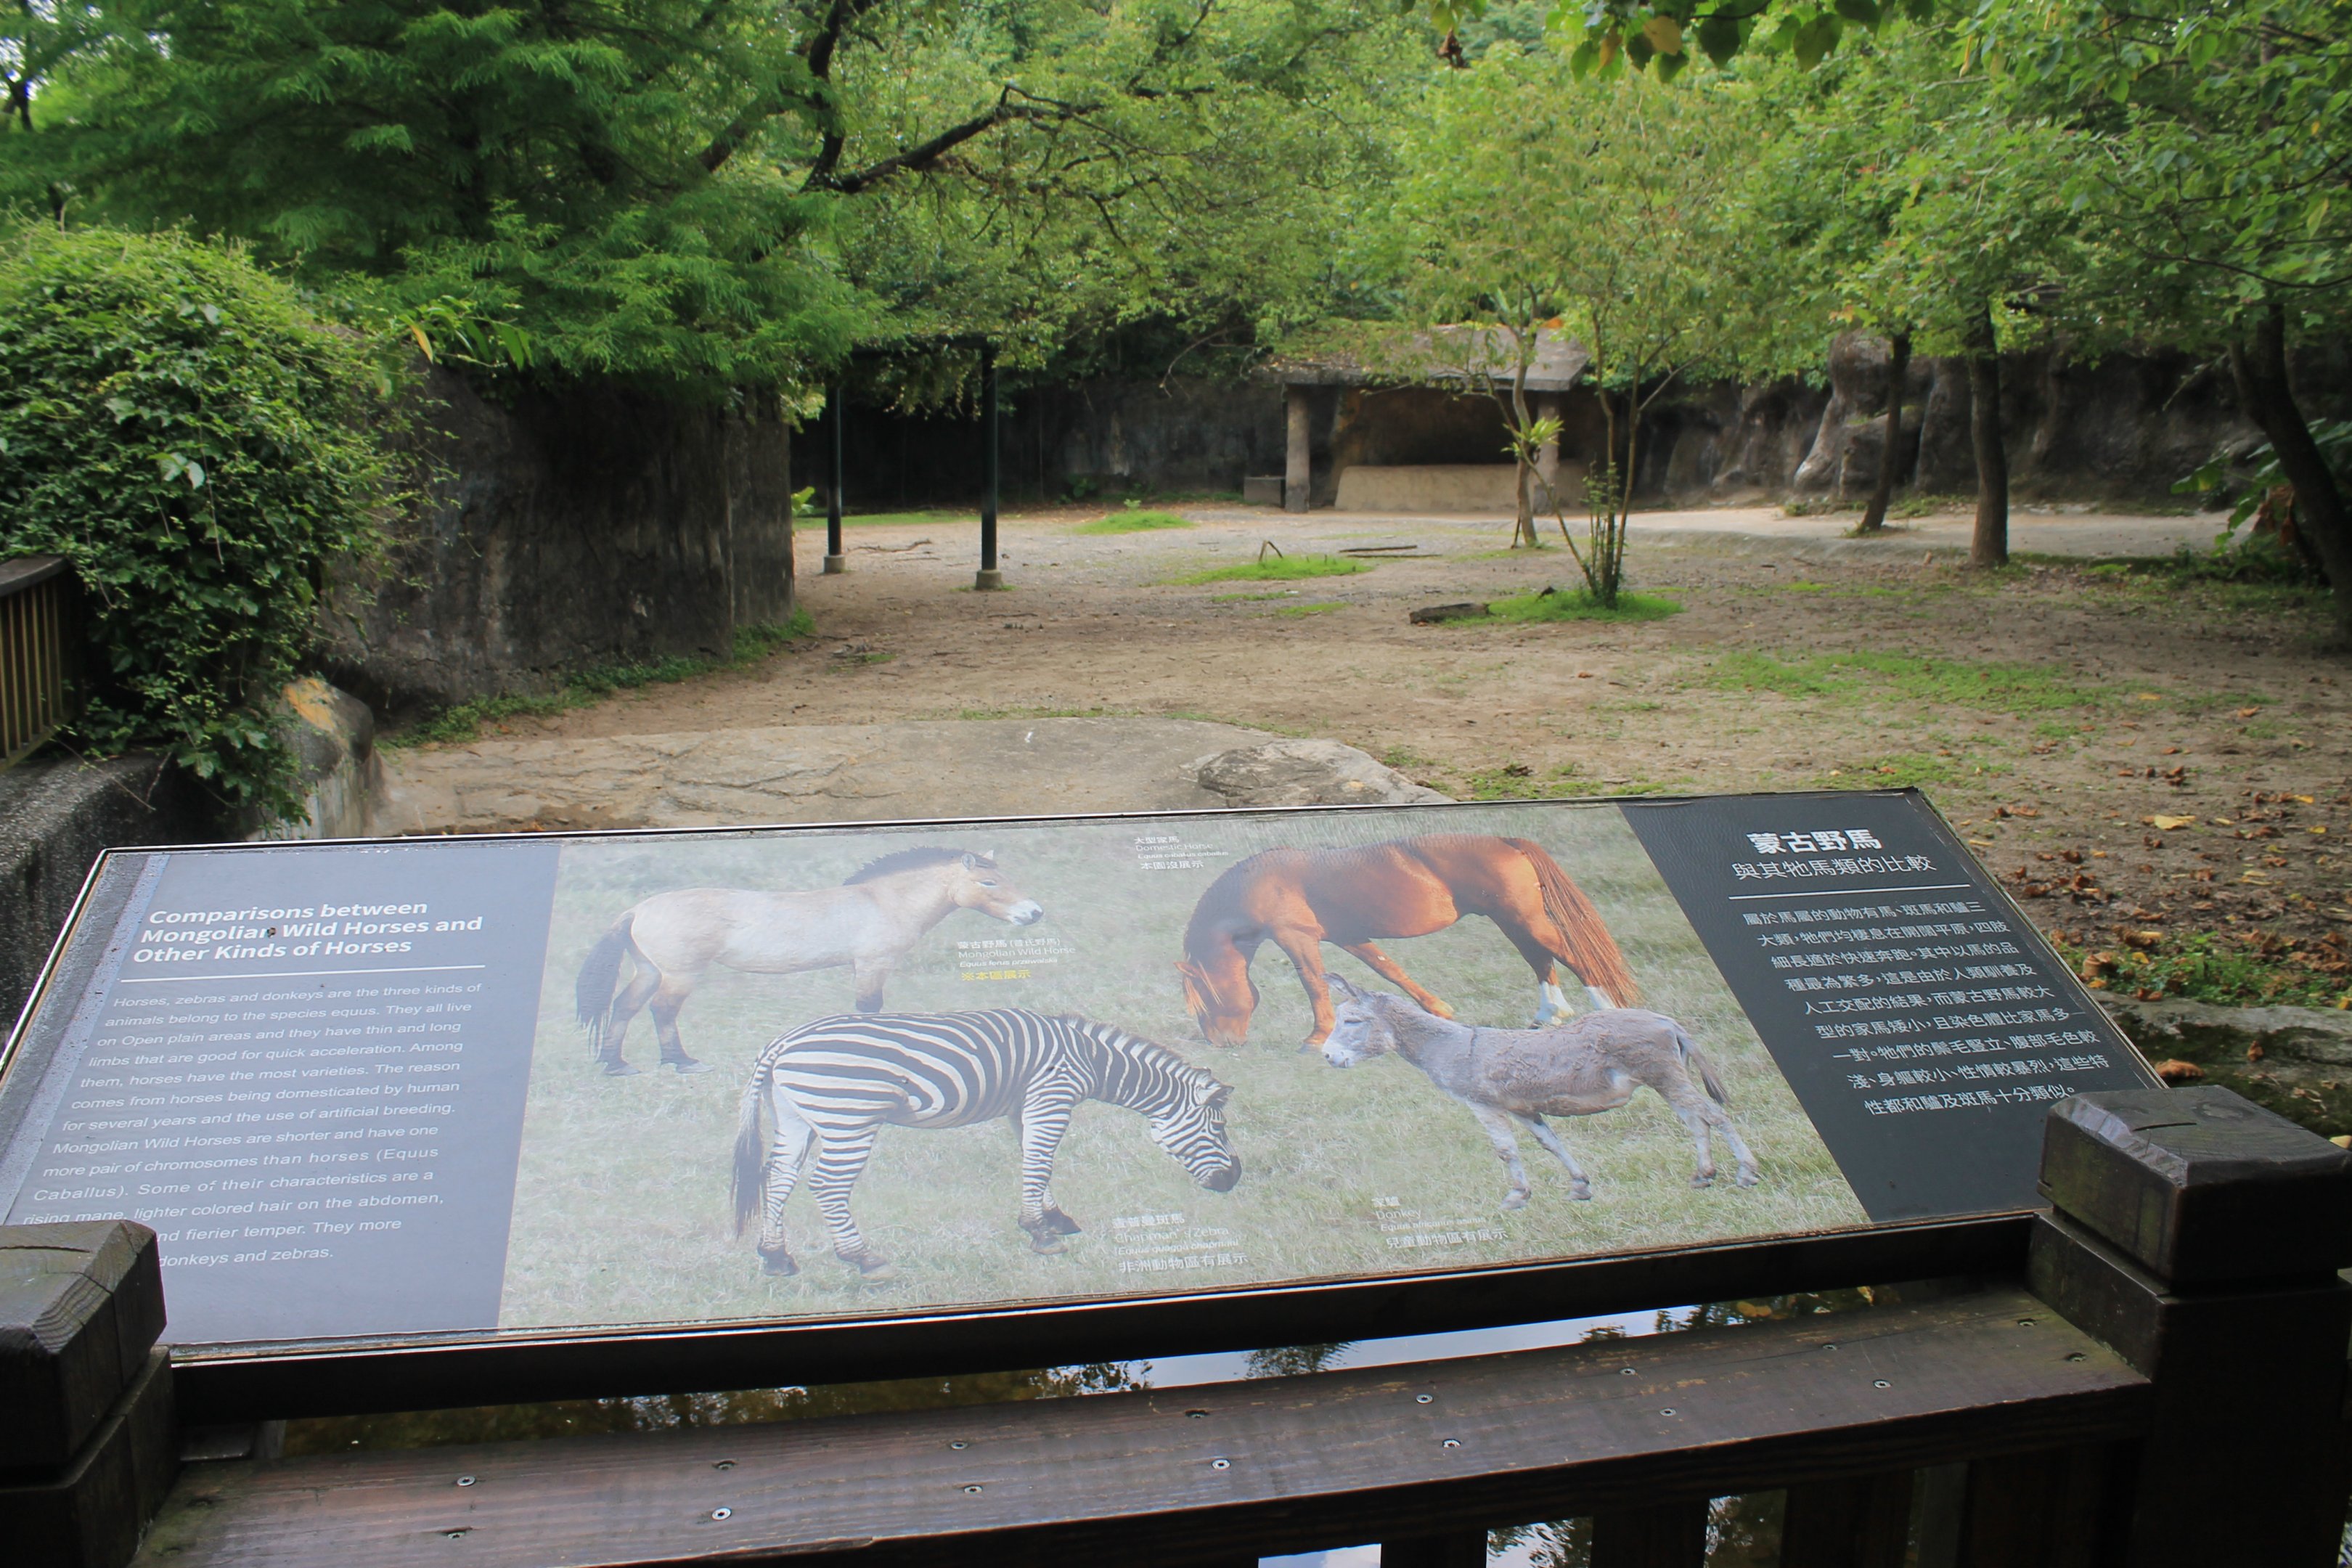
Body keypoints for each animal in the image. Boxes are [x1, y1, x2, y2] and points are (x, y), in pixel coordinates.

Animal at [575, 848, 1043, 1076]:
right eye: (989, 882)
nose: (1034, 913)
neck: (883, 901)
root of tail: (639, 909)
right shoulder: (872, 964)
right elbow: (869, 1010)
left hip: (649, 971)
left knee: (624, 1007)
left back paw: (616, 1066)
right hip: (678, 974)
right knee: (662, 1010)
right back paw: (682, 1063)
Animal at [730, 1008, 1239, 1277]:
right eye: (1217, 1129)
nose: (1235, 1180)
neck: (1091, 1059)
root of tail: (782, 1043)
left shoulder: (1025, 1106)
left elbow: (1034, 1159)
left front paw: (1053, 1219)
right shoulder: (1052, 1097)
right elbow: (1041, 1162)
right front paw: (1040, 1233)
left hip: (794, 1116)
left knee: (779, 1178)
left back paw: (776, 1257)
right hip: (848, 1118)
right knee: (827, 1186)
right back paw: (864, 1258)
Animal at [1175, 833, 1636, 1049]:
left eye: (1206, 1000)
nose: (1221, 1043)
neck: (1263, 882)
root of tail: (1505, 841)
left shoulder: (1296, 938)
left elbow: (1314, 985)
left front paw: (1316, 1038)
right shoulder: (1349, 936)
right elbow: (1389, 970)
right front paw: (1439, 1011)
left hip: (1522, 919)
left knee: (1572, 958)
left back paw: (1605, 1012)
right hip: (1513, 920)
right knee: (1540, 960)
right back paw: (1547, 1017)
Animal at [1319, 973, 1758, 1208]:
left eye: (1352, 1021)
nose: (1326, 1057)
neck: (1449, 1047)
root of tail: (1666, 1020)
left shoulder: (1484, 1106)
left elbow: (1505, 1151)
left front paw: (1516, 1196)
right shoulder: (1523, 1108)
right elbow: (1551, 1143)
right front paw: (1580, 1186)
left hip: (1664, 1076)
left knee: (1715, 1116)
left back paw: (1746, 1173)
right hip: (1664, 1080)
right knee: (1696, 1121)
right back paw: (1703, 1175)